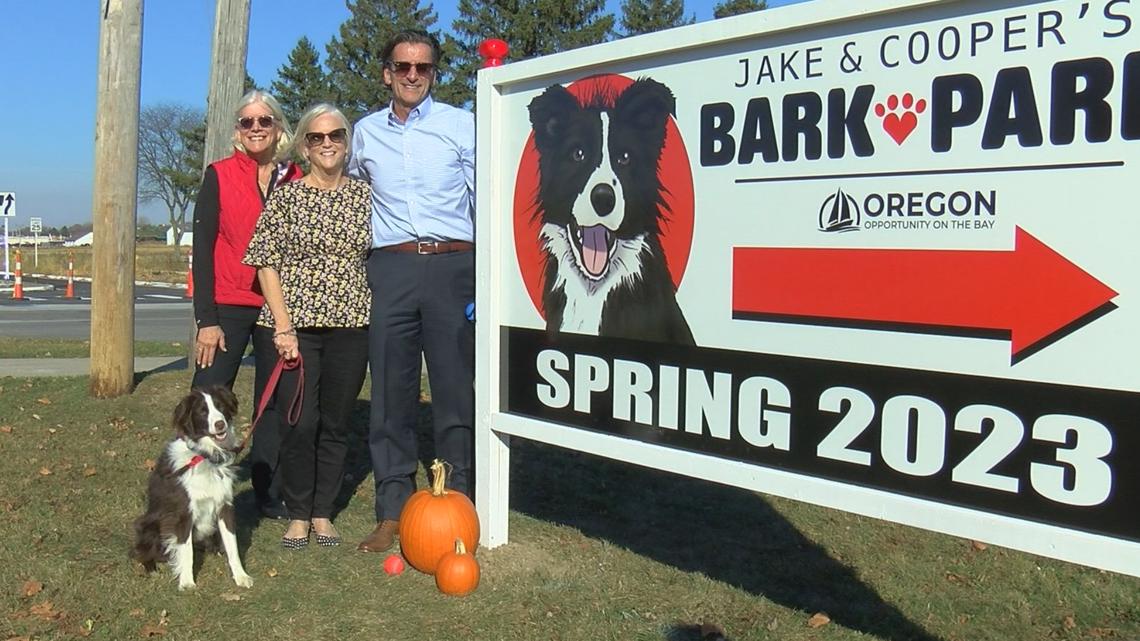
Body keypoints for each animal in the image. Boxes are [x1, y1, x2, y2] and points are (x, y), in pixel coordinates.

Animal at [131, 383, 251, 588]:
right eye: (203, 412)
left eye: (220, 406)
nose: (220, 424)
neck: (206, 456)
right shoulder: (183, 512)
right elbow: (186, 550)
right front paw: (187, 582)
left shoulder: (224, 505)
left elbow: (232, 545)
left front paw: (241, 576)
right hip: (149, 524)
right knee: (142, 551)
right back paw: (152, 568)